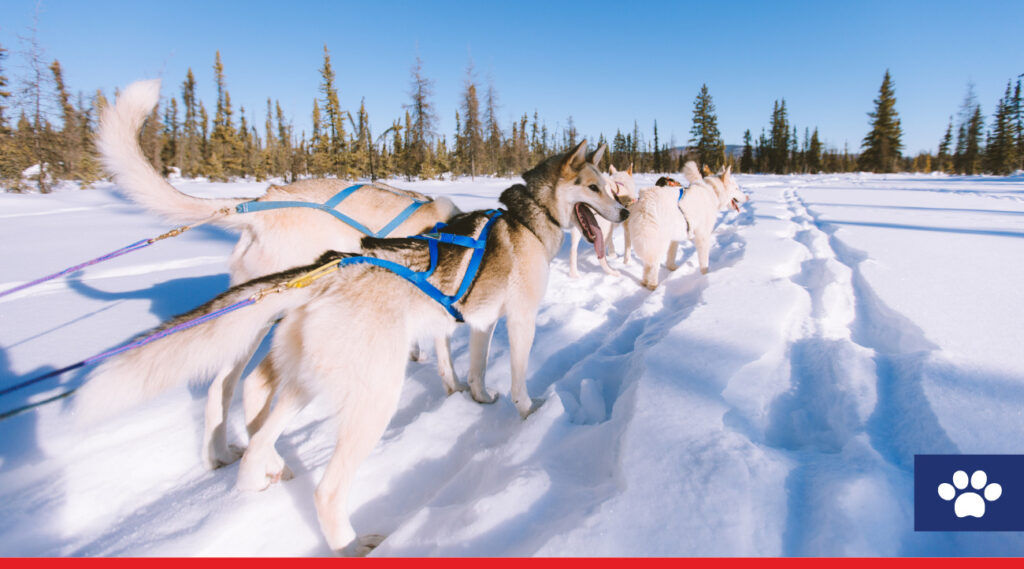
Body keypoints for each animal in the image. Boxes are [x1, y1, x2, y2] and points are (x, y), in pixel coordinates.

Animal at [74, 140, 622, 552]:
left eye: (609, 186)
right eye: (594, 187)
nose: (625, 209)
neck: (528, 219)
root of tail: (324, 273)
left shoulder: (480, 324)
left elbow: (477, 369)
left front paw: (478, 396)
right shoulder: (520, 320)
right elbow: (519, 378)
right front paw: (528, 410)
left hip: (303, 379)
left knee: (256, 420)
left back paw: (259, 470)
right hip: (373, 397)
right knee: (325, 487)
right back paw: (349, 543)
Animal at [96, 79, 460, 470]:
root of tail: (262, 205)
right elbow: (445, 352)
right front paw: (456, 389)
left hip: (249, 319)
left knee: (220, 387)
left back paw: (219, 456)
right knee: (245, 387)